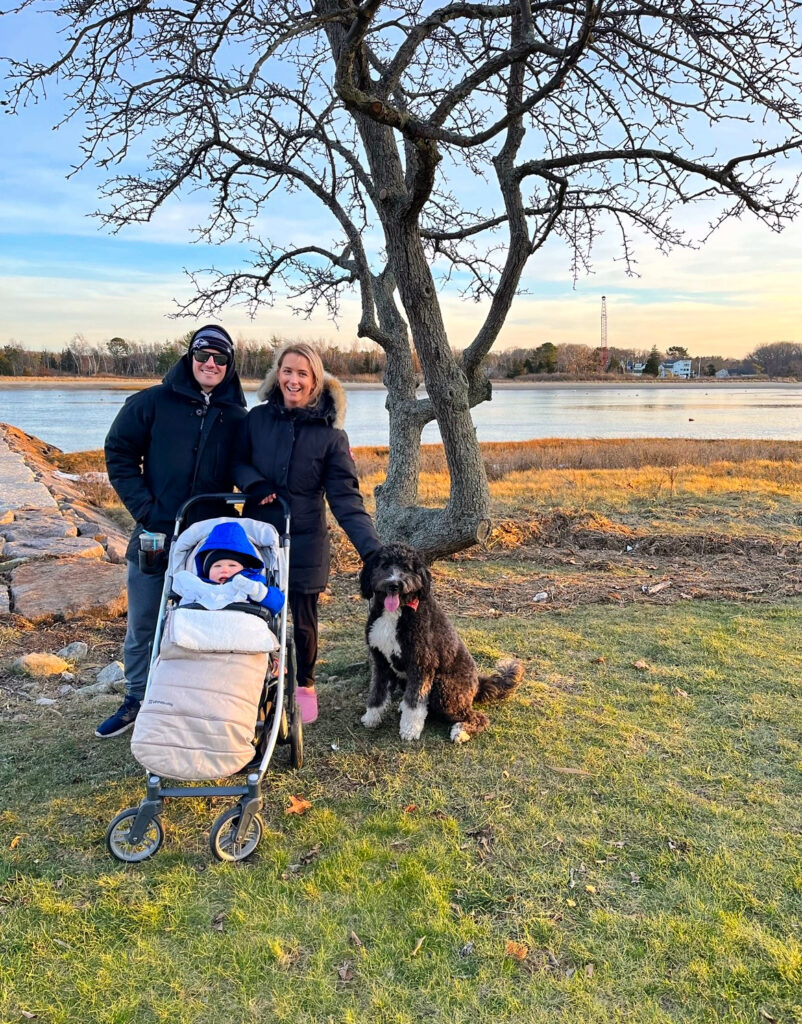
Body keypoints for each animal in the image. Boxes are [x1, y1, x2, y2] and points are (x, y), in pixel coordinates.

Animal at [358, 544, 524, 745]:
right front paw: (372, 717)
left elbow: (415, 703)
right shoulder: (380, 660)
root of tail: (478, 685)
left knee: (477, 717)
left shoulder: (422, 663)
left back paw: (461, 731)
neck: (396, 612)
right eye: (384, 565)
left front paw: (410, 730)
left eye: (406, 568)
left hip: (444, 688)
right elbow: (377, 693)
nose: (394, 584)